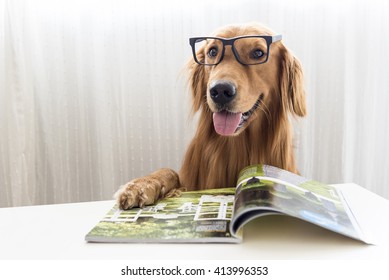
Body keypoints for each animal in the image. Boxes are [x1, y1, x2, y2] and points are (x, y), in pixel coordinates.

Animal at [115, 22, 306, 210]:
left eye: (258, 53)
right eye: (213, 51)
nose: (220, 91)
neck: (235, 146)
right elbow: (170, 171)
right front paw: (140, 185)